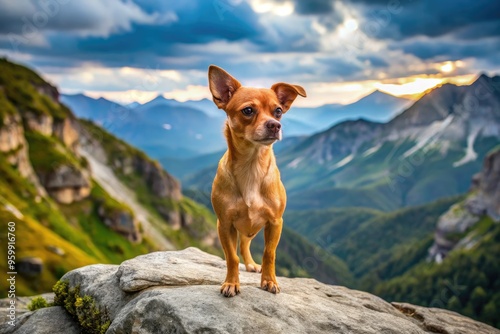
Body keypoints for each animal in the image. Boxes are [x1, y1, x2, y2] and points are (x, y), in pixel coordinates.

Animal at [207, 65, 304, 298]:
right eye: (248, 111)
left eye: (278, 111)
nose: (275, 125)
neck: (252, 167)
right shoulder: (224, 224)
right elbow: (232, 257)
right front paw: (231, 283)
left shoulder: (275, 223)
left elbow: (269, 253)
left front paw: (269, 281)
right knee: (240, 246)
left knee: (245, 244)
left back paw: (252, 265)